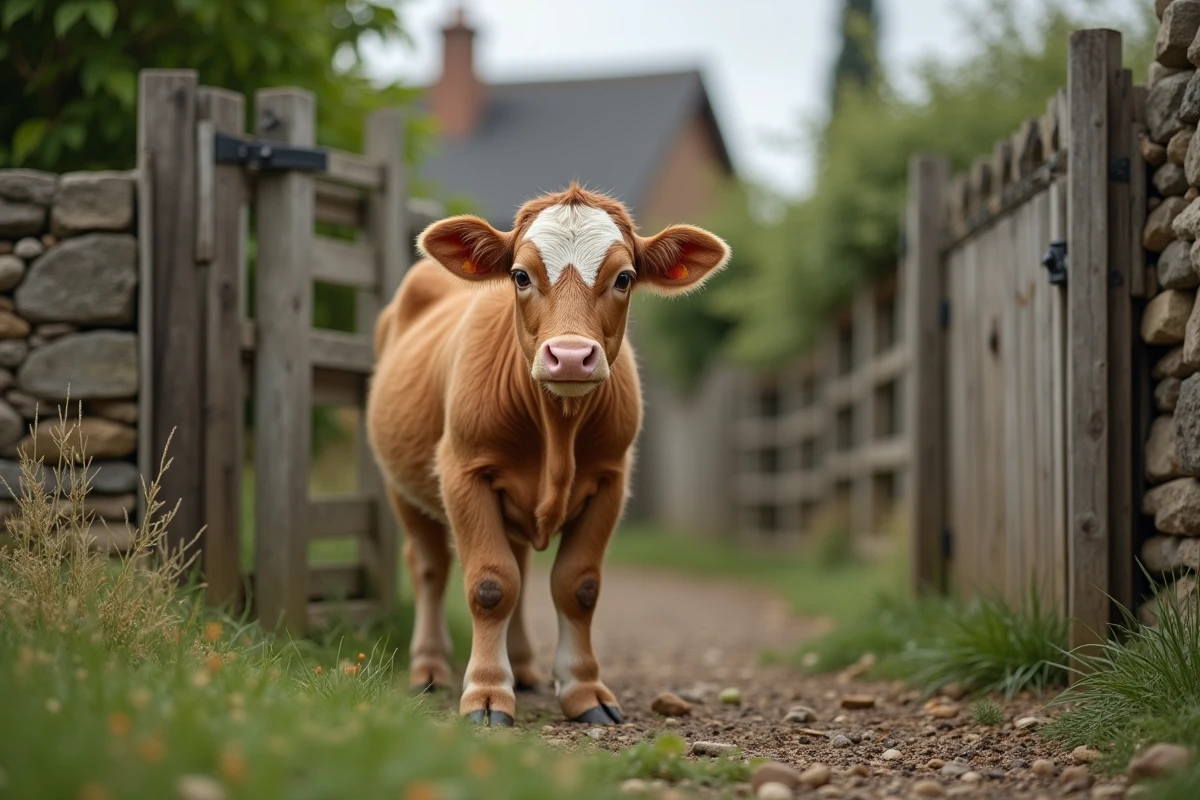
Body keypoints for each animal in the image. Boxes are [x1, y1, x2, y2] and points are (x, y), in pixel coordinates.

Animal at [366, 183, 730, 727]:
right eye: (520, 275)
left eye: (624, 278)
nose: (572, 356)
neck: (557, 428)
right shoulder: (463, 471)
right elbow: (490, 585)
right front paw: (487, 692)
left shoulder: (611, 480)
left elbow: (577, 586)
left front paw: (583, 689)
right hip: (401, 486)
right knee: (429, 567)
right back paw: (429, 669)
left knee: (518, 565)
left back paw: (524, 669)